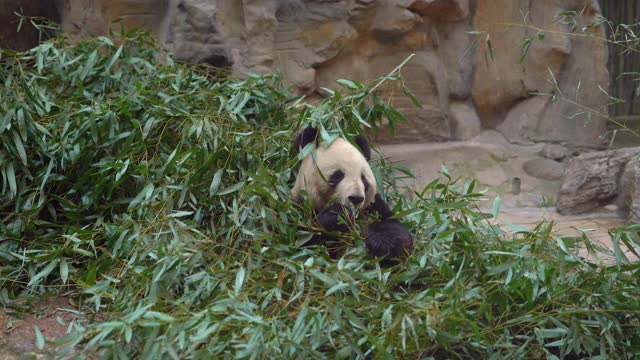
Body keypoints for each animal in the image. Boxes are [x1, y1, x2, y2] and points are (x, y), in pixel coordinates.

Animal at [292, 126, 412, 264]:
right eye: (338, 175)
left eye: (363, 178)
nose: (356, 198)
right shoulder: (299, 205)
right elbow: (305, 243)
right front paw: (338, 215)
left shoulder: (371, 209)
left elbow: (396, 232)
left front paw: (382, 244)